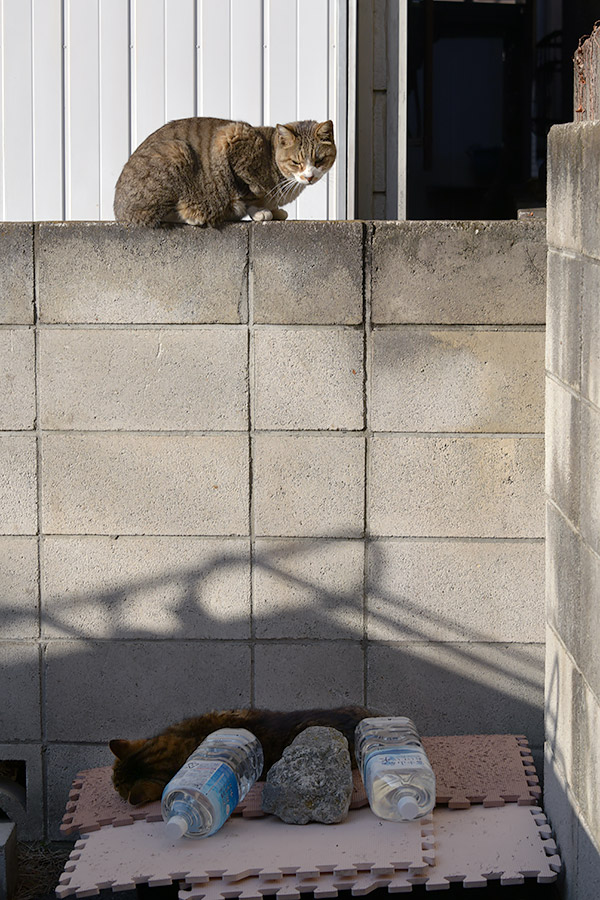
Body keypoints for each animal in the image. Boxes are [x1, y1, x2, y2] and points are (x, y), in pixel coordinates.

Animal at [113, 117, 338, 229]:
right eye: (296, 162)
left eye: (319, 160)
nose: (309, 176)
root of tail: (118, 211)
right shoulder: (230, 137)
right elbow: (247, 188)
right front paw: (260, 211)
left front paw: (274, 211)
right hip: (176, 153)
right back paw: (195, 215)